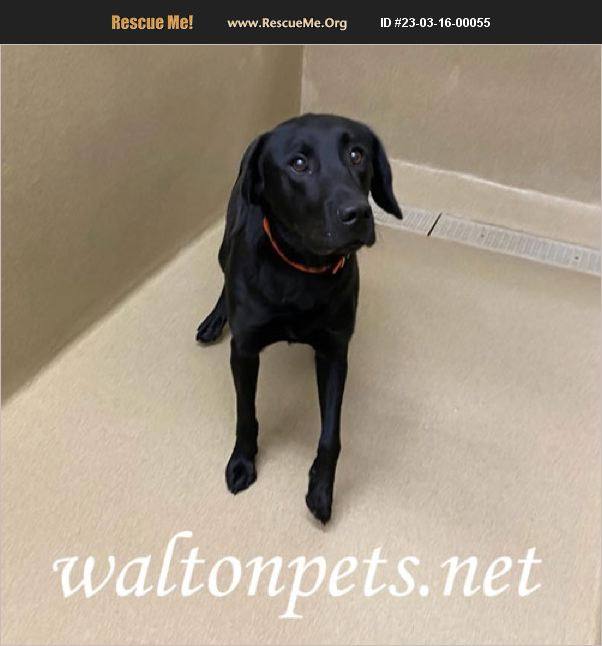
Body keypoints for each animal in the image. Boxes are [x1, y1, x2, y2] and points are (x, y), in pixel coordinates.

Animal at [196, 113, 402, 523]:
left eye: (357, 154)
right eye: (299, 163)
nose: (358, 213)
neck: (302, 271)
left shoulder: (335, 353)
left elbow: (330, 436)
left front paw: (321, 489)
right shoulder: (244, 351)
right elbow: (246, 414)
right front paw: (242, 462)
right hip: (224, 243)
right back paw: (215, 318)